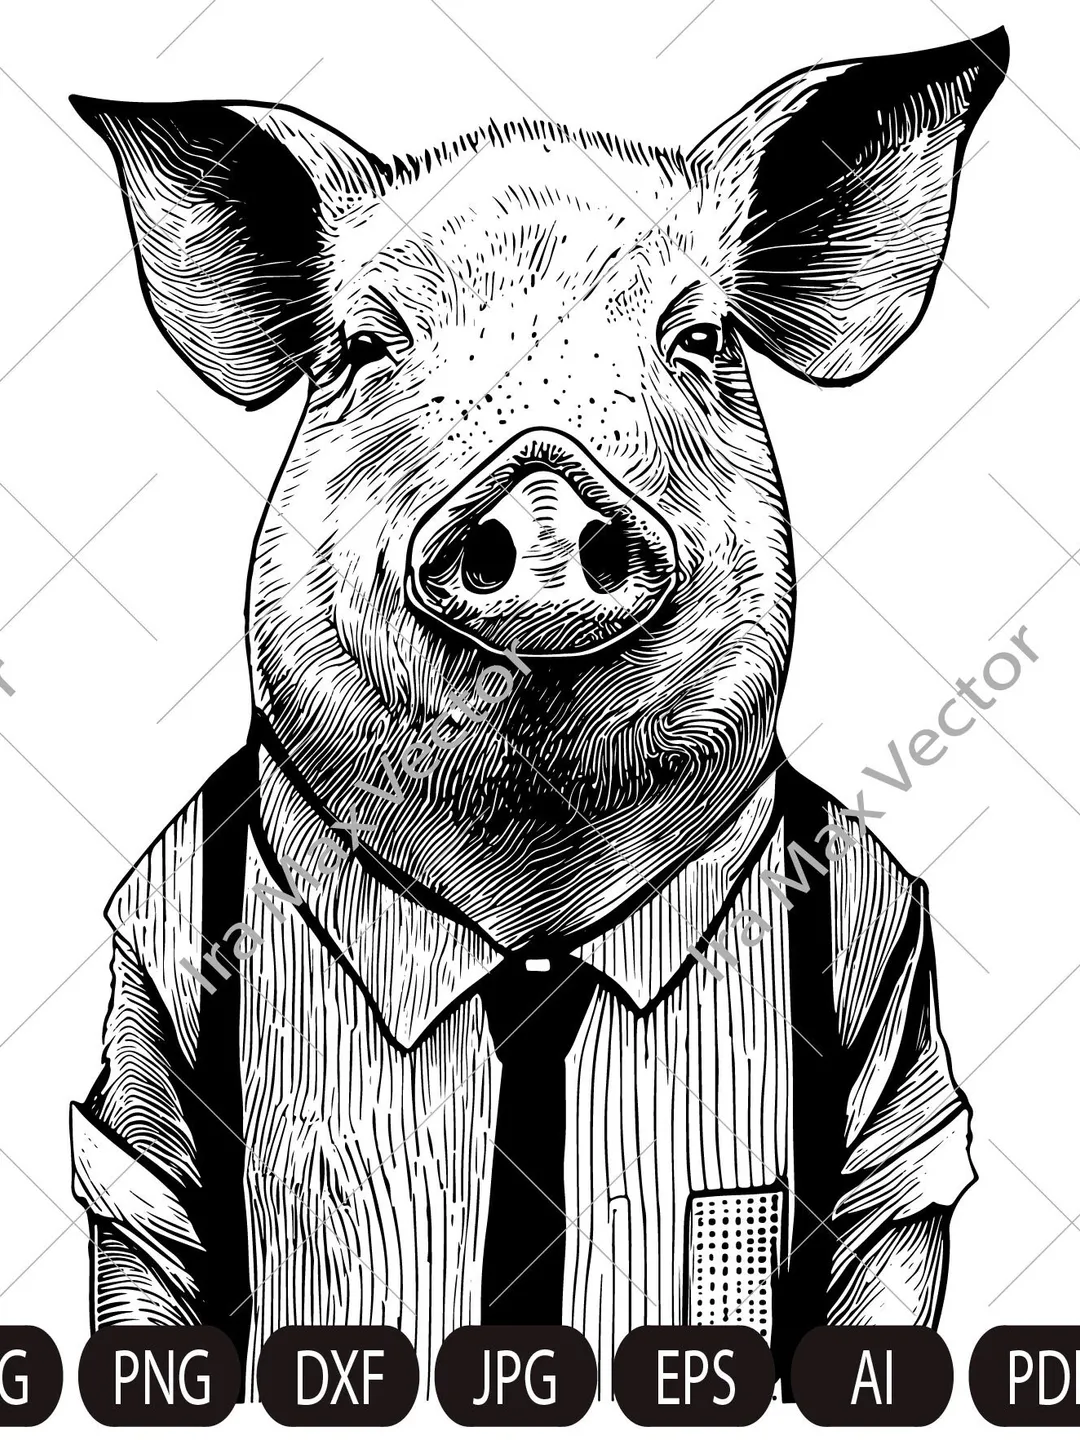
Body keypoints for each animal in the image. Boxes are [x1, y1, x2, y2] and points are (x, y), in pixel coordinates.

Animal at [69, 28, 1007, 1402]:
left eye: (701, 339)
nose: (547, 484)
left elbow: (887, 1213)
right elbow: (153, 1216)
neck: (530, 924)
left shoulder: (895, 994)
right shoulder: (147, 988)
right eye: (366, 345)